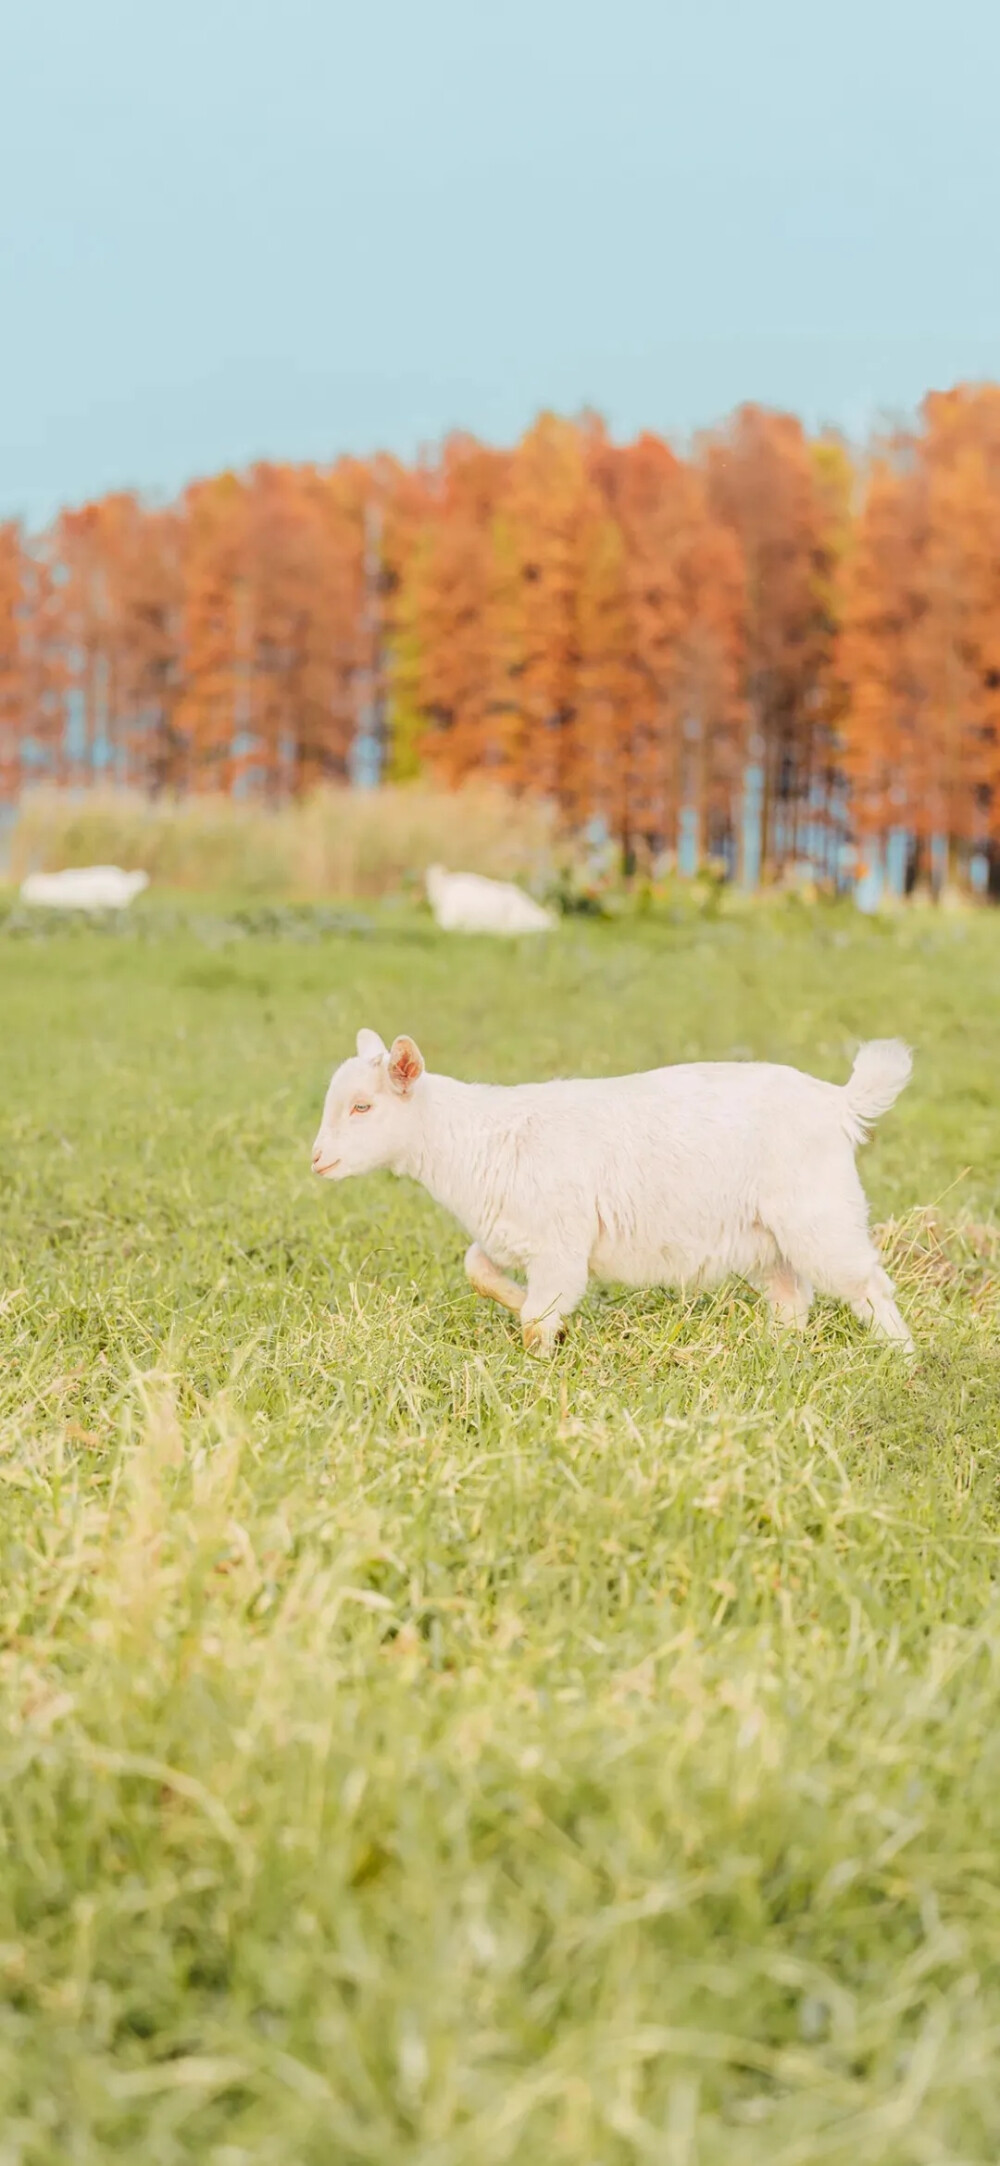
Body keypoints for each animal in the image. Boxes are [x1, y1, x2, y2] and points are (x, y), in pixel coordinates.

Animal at [309, 1031, 913, 1351]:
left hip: (822, 1215)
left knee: (870, 1285)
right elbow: (477, 1270)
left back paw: (900, 1358)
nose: (316, 1159)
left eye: (362, 1106)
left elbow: (536, 1318)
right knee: (793, 1298)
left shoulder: (559, 1245)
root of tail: (839, 1102)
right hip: (769, 1235)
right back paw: (778, 1352)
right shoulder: (510, 1234)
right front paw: (520, 1304)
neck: (476, 1138)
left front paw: (541, 1360)